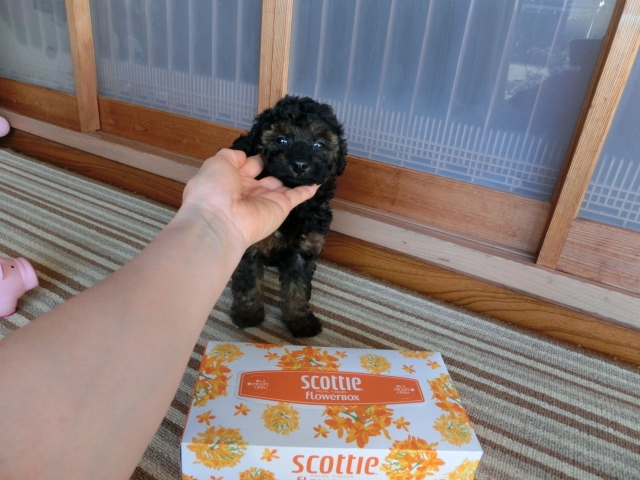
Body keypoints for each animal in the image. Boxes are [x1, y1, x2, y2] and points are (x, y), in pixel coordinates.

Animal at [229, 95, 347, 337]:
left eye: (319, 144)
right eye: (281, 140)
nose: (300, 164)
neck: (294, 208)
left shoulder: (305, 246)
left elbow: (298, 288)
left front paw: (299, 320)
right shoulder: (249, 245)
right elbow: (248, 282)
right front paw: (248, 314)